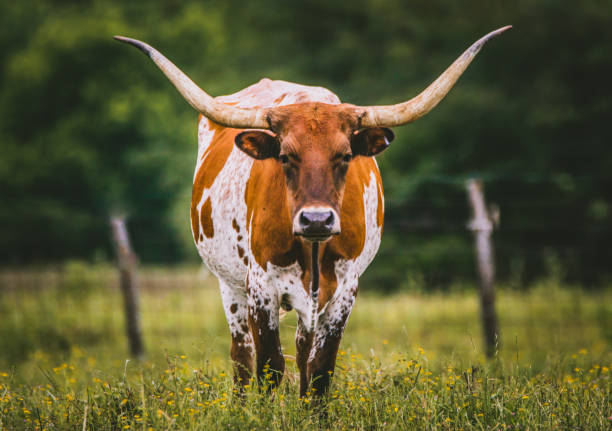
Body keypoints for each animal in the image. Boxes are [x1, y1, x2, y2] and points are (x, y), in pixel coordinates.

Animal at [116, 27, 512, 396]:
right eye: (285, 156)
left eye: (345, 156)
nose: (316, 219)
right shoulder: (260, 287)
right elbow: (269, 367)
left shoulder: (345, 290)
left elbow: (320, 369)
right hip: (230, 285)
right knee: (242, 357)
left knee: (301, 352)